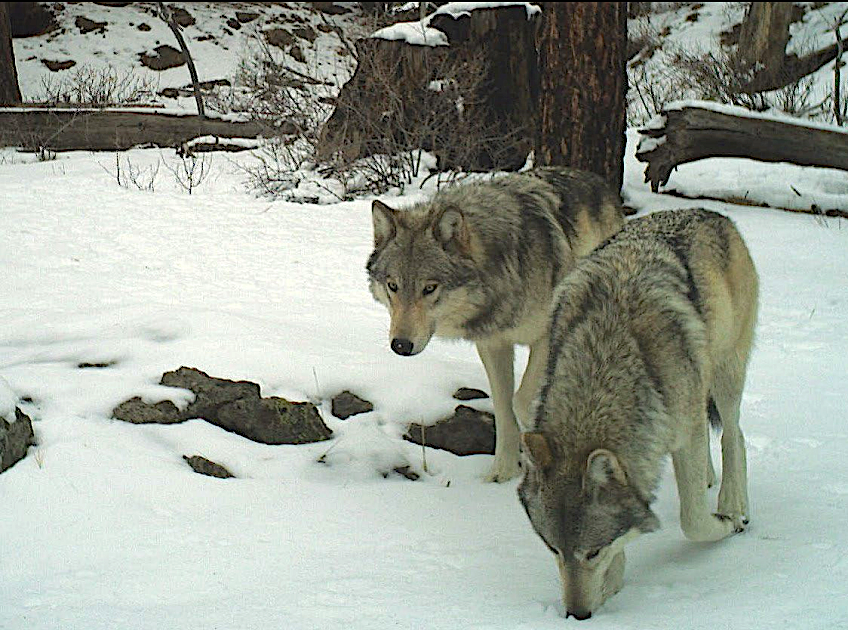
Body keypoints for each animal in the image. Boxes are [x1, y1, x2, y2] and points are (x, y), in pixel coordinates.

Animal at [366, 167, 625, 482]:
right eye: (393, 286)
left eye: (429, 288)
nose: (401, 345)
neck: (503, 271)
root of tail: (597, 180)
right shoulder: (493, 344)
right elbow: (503, 407)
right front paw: (504, 471)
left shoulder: (546, 338)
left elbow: (521, 402)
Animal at [517, 208, 759, 619]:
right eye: (554, 549)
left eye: (592, 552)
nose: (576, 615)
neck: (605, 358)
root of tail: (712, 213)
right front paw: (612, 584)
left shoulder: (685, 432)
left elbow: (693, 521)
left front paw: (724, 522)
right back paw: (710, 478)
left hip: (725, 373)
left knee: (734, 435)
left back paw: (731, 502)